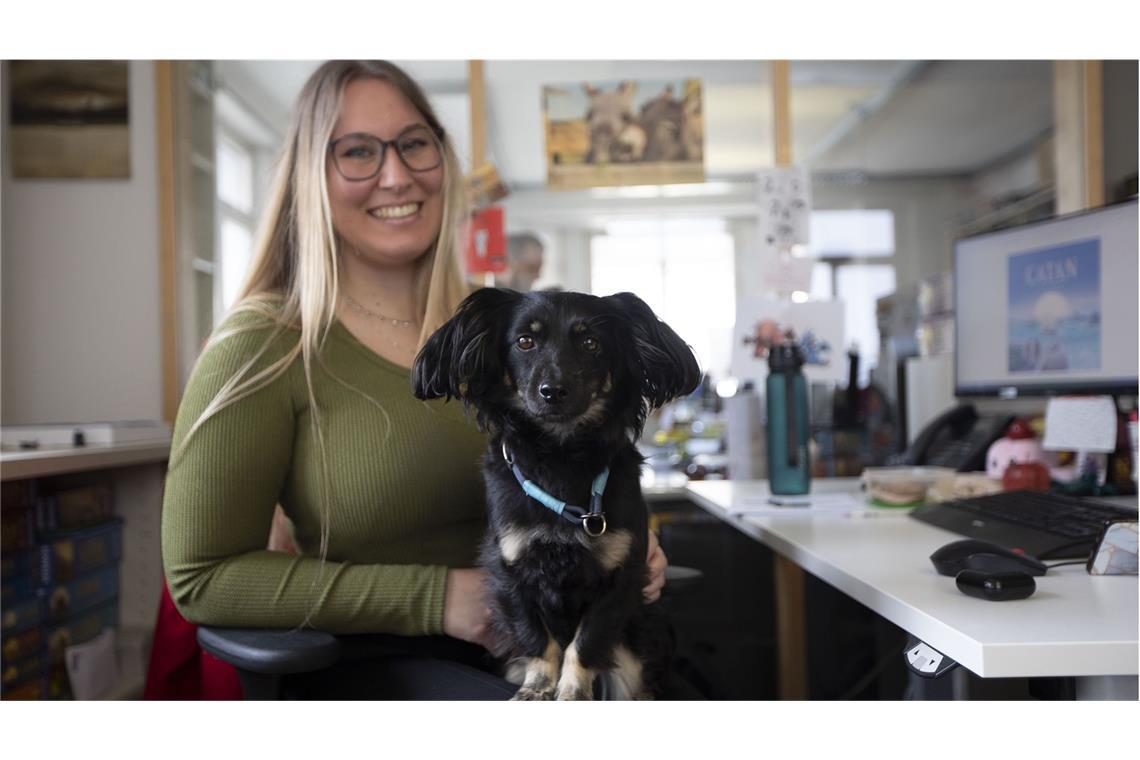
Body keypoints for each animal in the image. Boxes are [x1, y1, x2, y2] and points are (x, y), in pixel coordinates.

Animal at [410, 287, 693, 701]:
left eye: (591, 344)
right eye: (525, 341)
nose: (553, 392)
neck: (561, 458)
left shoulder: (620, 575)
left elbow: (585, 641)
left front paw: (572, 692)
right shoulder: (510, 570)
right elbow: (535, 637)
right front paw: (538, 687)